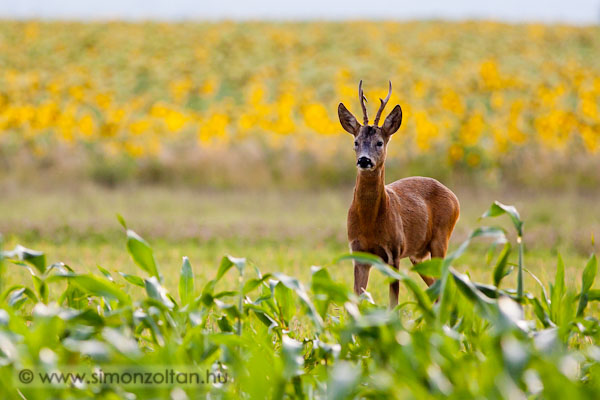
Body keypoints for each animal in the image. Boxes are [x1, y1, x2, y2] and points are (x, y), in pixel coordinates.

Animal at [338, 80, 460, 306]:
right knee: (435, 286)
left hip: (441, 237)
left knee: (443, 284)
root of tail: (453, 197)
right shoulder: (358, 253)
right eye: (355, 142)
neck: (369, 223)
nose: (364, 160)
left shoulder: (394, 251)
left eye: (379, 142)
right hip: (418, 254)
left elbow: (393, 300)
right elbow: (358, 297)